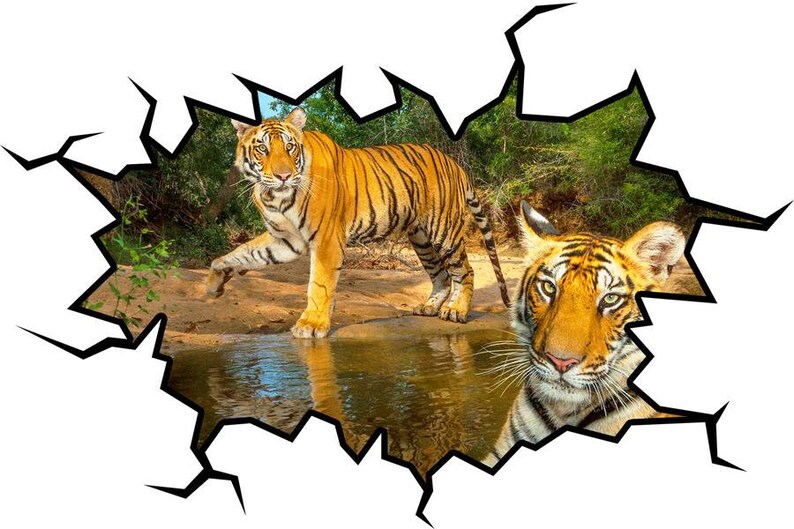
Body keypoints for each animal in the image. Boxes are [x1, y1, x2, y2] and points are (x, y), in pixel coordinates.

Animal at [206, 107, 510, 338]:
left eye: (290, 148)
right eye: (262, 149)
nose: (283, 176)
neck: (275, 196)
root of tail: (454, 163)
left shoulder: (326, 239)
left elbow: (319, 284)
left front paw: (311, 324)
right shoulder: (286, 240)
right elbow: (243, 252)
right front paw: (214, 281)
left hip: (443, 231)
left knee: (464, 270)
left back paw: (457, 311)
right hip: (421, 238)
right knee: (441, 275)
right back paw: (431, 307)